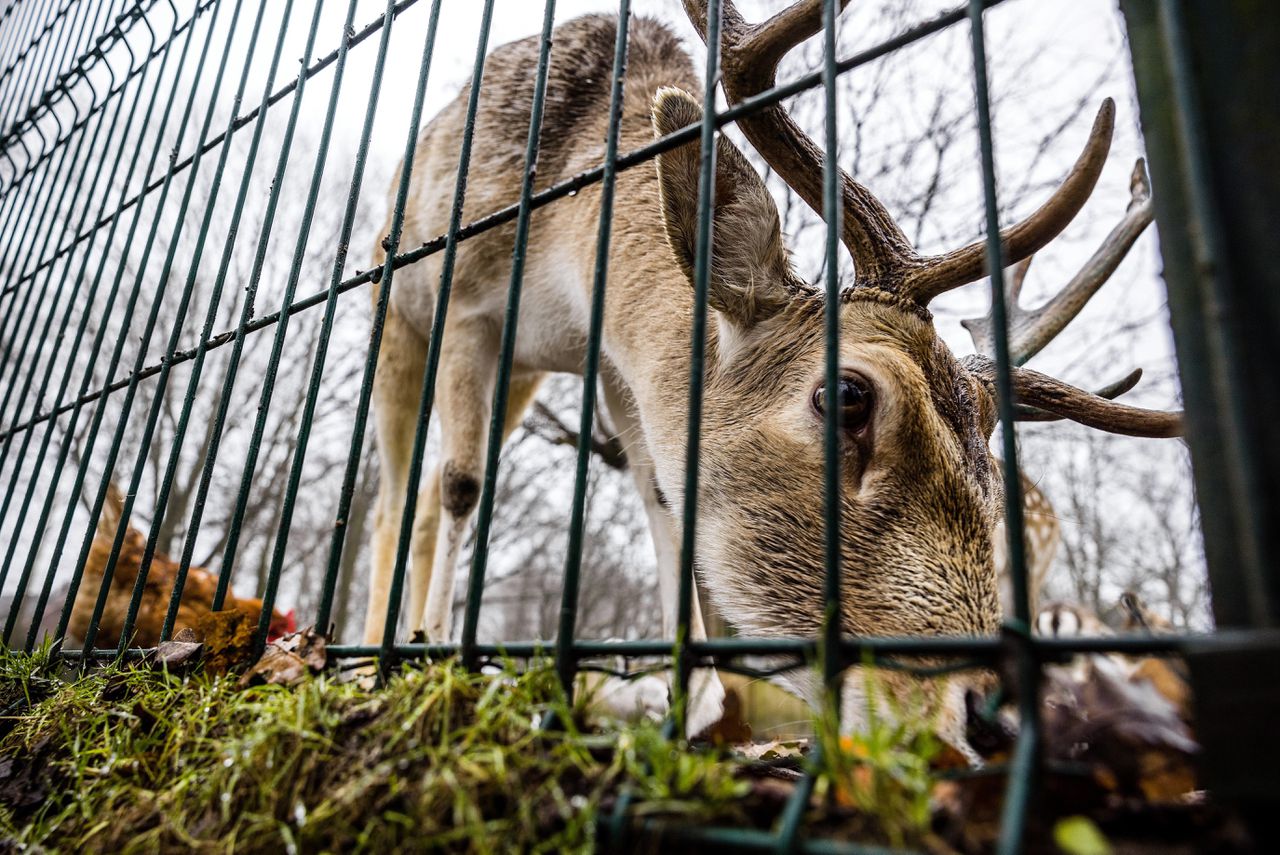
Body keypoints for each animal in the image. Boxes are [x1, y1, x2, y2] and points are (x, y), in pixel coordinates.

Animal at [360, 0, 1177, 752]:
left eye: (990, 451)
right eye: (847, 394)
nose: (988, 716)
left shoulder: (617, 368)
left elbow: (662, 496)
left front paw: (697, 704)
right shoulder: (467, 309)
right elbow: (463, 484)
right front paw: (445, 674)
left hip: (517, 378)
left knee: (423, 501)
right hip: (394, 320)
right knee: (401, 497)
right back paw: (380, 659)